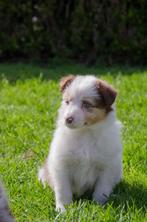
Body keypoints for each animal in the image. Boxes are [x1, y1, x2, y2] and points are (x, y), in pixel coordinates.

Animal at [38, 74, 122, 212]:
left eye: (86, 104)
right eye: (67, 102)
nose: (67, 119)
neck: (84, 133)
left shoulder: (107, 167)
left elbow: (102, 190)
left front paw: (99, 206)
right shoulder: (61, 164)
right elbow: (63, 190)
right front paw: (62, 209)